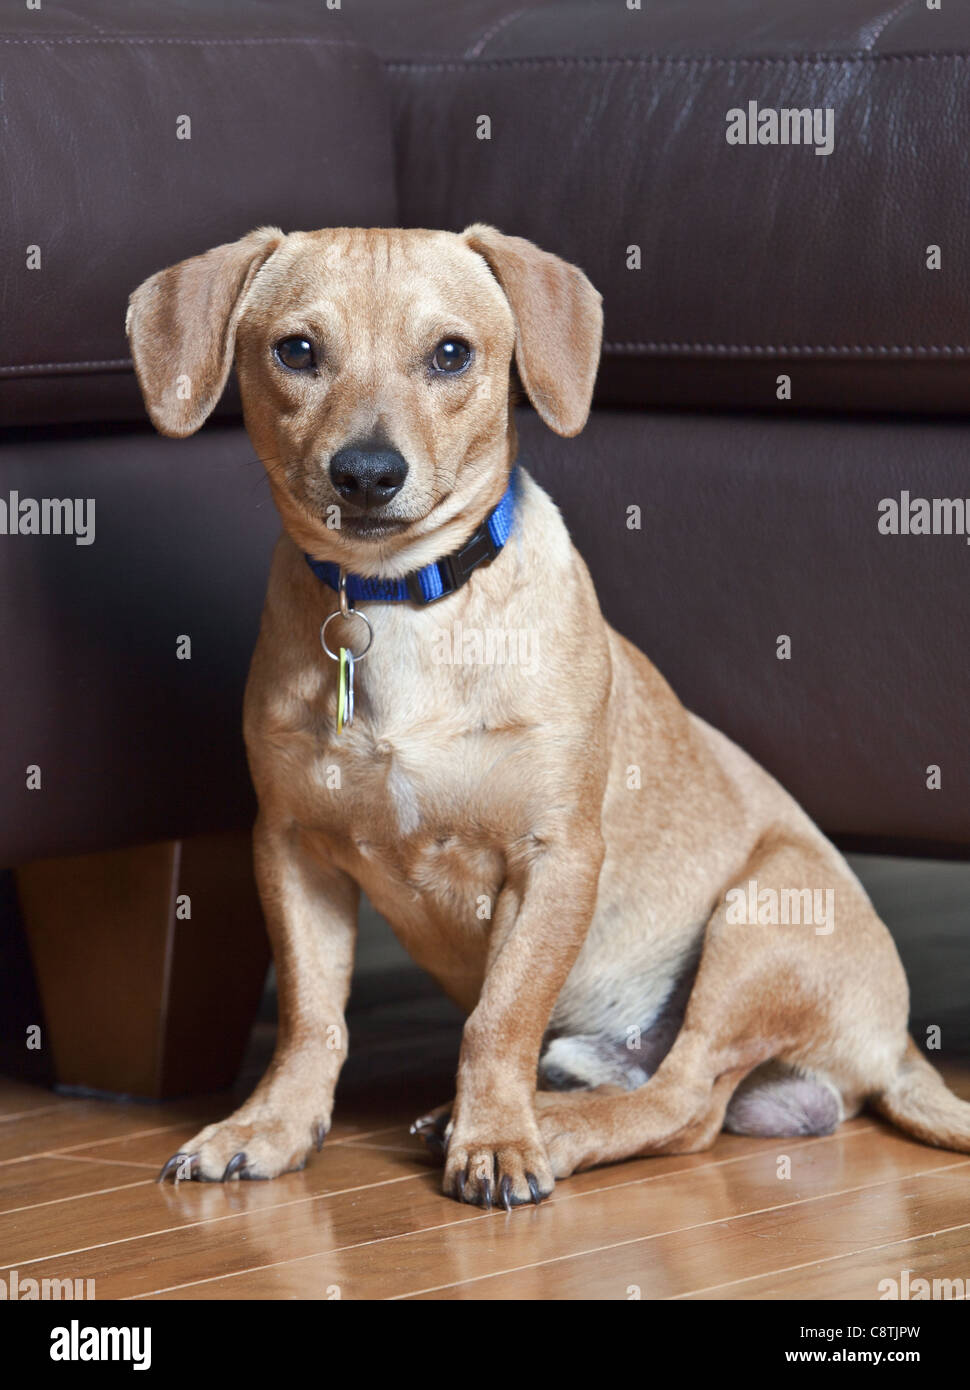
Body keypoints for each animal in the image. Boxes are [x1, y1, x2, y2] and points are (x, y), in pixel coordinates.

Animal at [128, 225, 967, 1206]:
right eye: (296, 351)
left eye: (452, 354)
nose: (368, 475)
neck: (401, 602)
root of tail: (896, 1046)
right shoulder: (293, 851)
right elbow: (312, 1019)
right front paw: (271, 1127)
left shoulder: (554, 859)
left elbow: (499, 1017)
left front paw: (496, 1138)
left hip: (759, 920)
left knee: (682, 1104)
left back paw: (550, 1128)